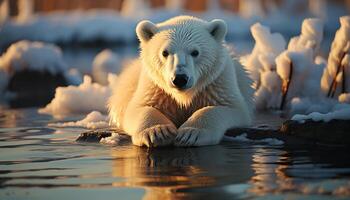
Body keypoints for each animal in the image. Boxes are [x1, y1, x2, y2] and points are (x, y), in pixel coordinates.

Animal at [108, 15, 253, 147]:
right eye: (165, 52)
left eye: (195, 52)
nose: (180, 79)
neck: (183, 96)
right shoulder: (154, 87)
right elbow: (139, 108)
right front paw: (158, 132)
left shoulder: (217, 83)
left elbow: (228, 107)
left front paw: (190, 133)